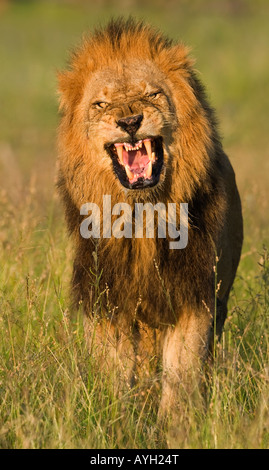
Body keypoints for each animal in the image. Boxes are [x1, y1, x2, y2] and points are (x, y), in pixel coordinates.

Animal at [56, 16, 243, 416]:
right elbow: (113, 375)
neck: (143, 214)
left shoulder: (194, 296)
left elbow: (181, 375)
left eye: (153, 94)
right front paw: (117, 419)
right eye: (101, 103)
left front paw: (178, 423)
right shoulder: (106, 300)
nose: (129, 121)